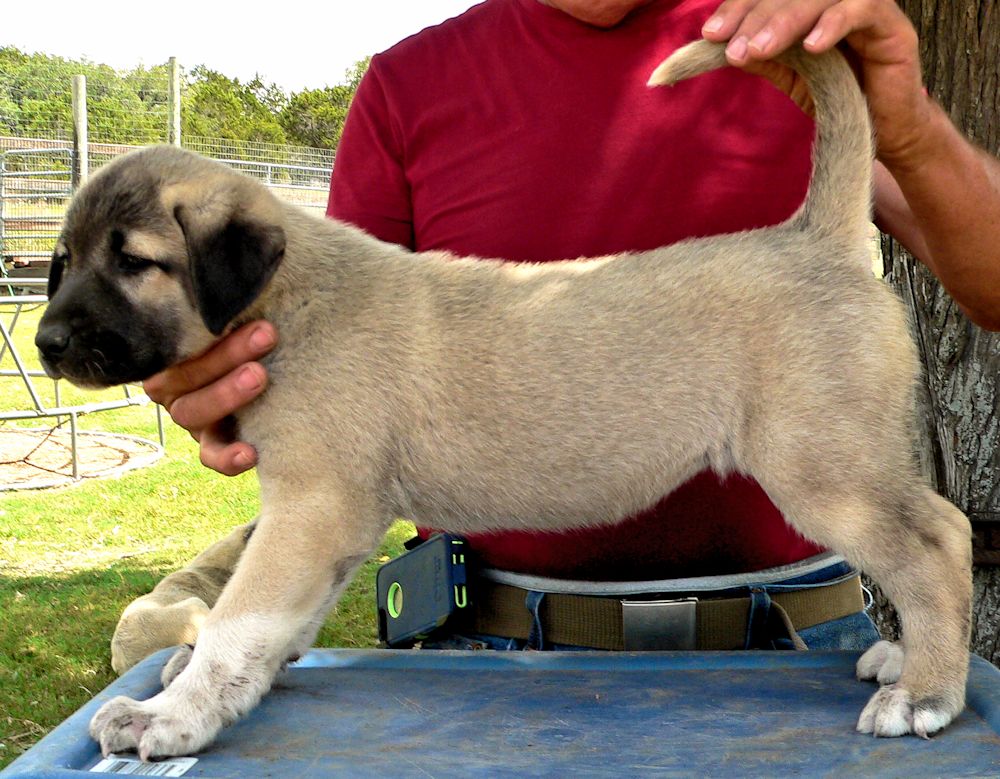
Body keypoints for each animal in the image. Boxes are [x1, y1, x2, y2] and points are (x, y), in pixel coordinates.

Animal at [37, 39, 968, 760]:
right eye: (65, 259)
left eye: (135, 261)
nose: (45, 343)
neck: (290, 296)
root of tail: (819, 238)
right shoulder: (324, 520)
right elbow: (274, 620)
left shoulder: (314, 506)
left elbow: (240, 616)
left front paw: (170, 714)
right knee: (941, 528)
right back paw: (909, 660)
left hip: (822, 467)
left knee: (934, 543)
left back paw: (925, 691)